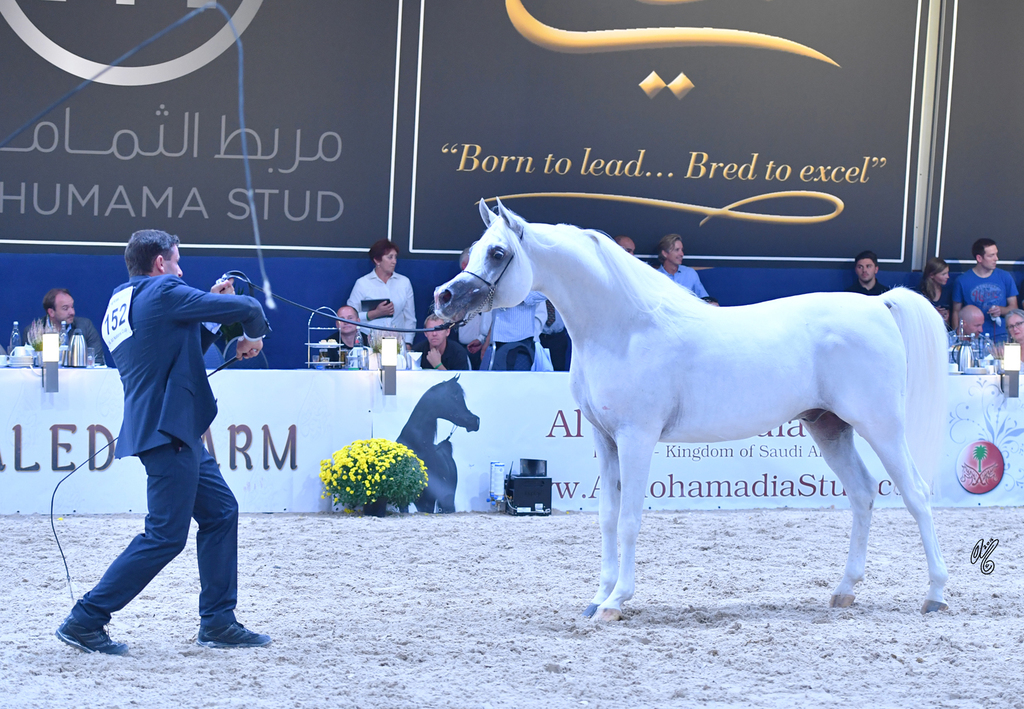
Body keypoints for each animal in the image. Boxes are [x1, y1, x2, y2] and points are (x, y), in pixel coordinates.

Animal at [434, 199, 949, 620]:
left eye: (497, 253)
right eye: (475, 249)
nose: (444, 298)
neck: (624, 328)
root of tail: (879, 306)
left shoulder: (637, 438)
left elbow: (629, 519)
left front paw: (617, 601)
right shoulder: (605, 439)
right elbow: (606, 518)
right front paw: (597, 599)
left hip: (881, 426)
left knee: (917, 495)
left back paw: (936, 595)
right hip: (830, 428)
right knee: (863, 495)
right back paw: (844, 591)